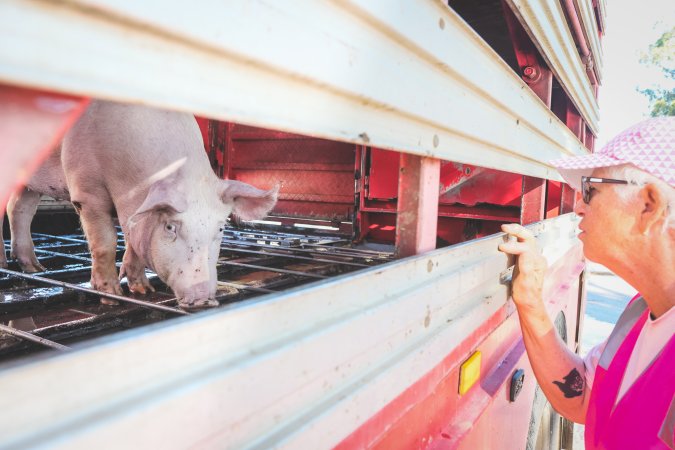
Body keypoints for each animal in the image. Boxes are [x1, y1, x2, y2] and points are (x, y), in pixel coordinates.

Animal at [1, 100, 278, 310]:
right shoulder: (86, 189)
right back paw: (7, 266)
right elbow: (105, 242)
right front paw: (112, 298)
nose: (202, 298)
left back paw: (35, 268)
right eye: (170, 227)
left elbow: (133, 243)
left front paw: (144, 290)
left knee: (19, 207)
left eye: (220, 229)